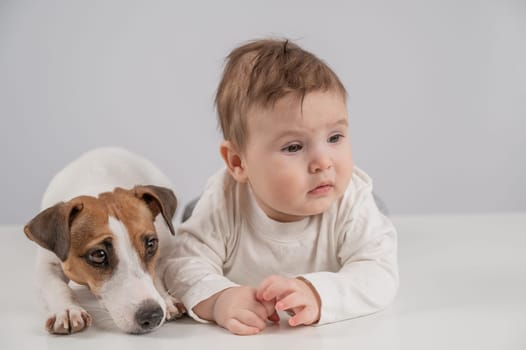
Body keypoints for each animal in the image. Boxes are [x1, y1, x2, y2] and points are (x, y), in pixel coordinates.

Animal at [24, 147, 186, 334]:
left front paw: (166, 298)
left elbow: (156, 273)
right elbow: (58, 287)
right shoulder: (47, 266)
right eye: (98, 255)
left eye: (151, 244)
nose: (152, 315)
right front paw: (67, 310)